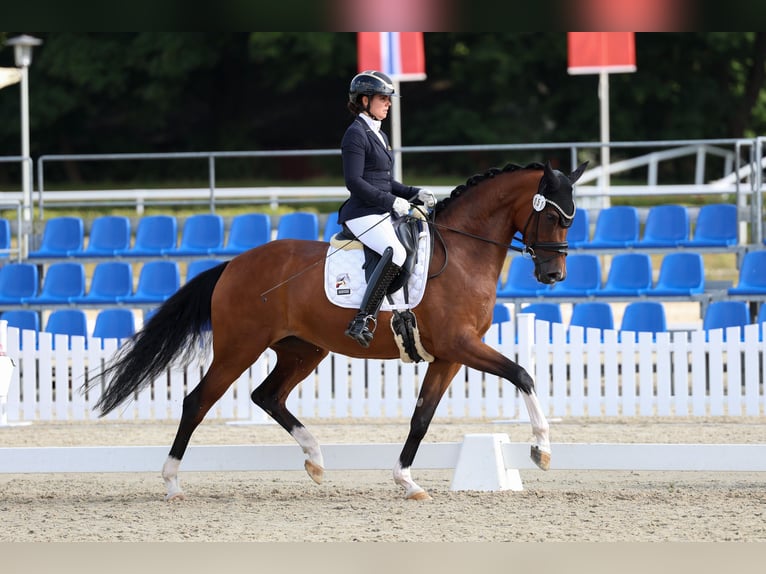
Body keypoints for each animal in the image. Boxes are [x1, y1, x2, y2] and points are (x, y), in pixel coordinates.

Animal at [85, 160, 588, 502]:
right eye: (553, 216)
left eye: (572, 218)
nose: (554, 275)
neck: (463, 253)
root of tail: (234, 264)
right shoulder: (462, 344)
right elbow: (523, 374)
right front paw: (541, 450)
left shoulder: (447, 355)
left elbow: (422, 418)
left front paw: (407, 481)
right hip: (240, 347)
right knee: (198, 401)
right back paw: (172, 482)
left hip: (302, 350)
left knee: (267, 395)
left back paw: (315, 459)